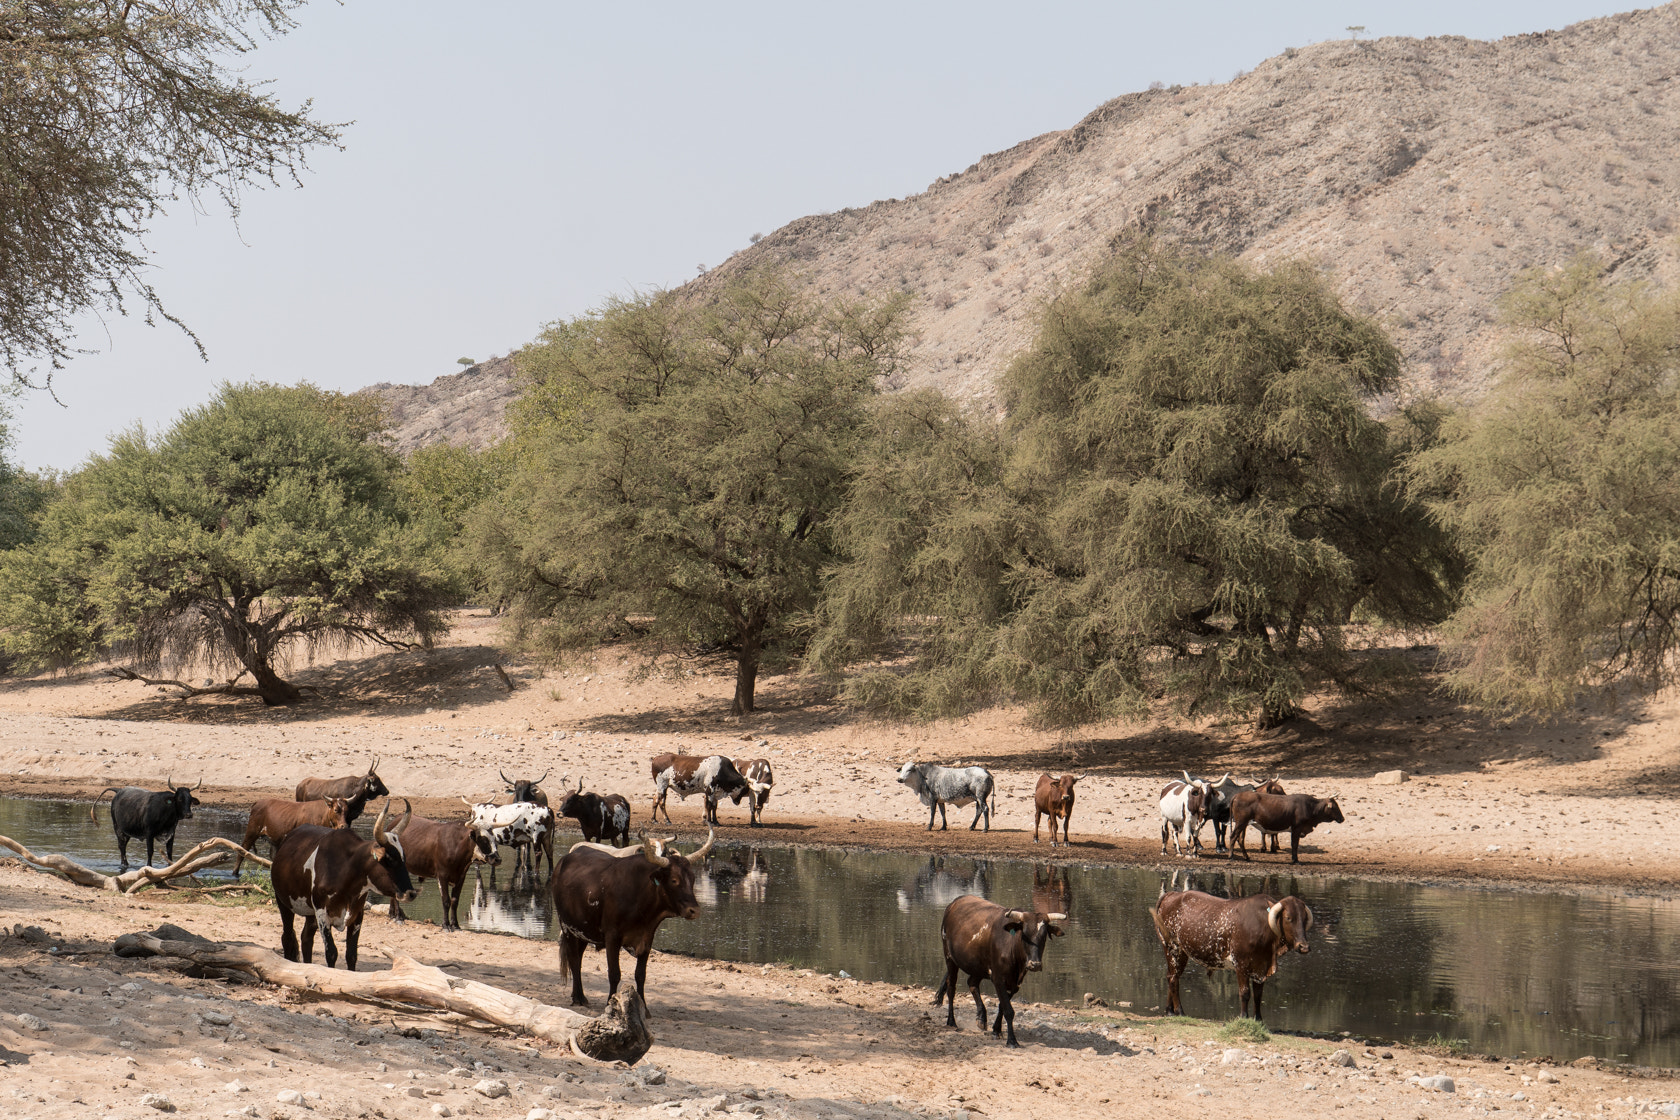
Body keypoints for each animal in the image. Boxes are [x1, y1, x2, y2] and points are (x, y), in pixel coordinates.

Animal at [273, 795, 418, 973]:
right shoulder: (322, 913)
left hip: (310, 913)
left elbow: (351, 954)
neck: (347, 869)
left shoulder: (357, 915)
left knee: (306, 939)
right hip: (283, 902)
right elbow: (331, 953)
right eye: (390, 859)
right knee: (288, 938)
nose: (411, 893)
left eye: (404, 858)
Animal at [934, 893, 1061, 1054]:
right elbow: (1008, 1010)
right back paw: (951, 1021)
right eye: (1024, 934)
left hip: (977, 965)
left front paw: (996, 1030)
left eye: (1044, 936)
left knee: (972, 983)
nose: (1035, 964)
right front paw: (1012, 1041)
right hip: (950, 958)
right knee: (951, 989)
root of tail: (956, 901)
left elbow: (1002, 1006)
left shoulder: (1015, 983)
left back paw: (981, 1018)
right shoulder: (998, 978)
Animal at [1155, 886, 1310, 1020]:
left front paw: (1258, 1019)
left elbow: (1258, 995)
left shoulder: (1261, 968)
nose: (1304, 946)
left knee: (1171, 976)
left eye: (1304, 919)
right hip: (1173, 949)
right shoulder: (1241, 965)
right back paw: (1179, 1011)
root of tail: (1172, 895)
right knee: (1173, 979)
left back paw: (1169, 1010)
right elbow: (1245, 993)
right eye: (1288, 918)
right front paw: (1244, 1016)